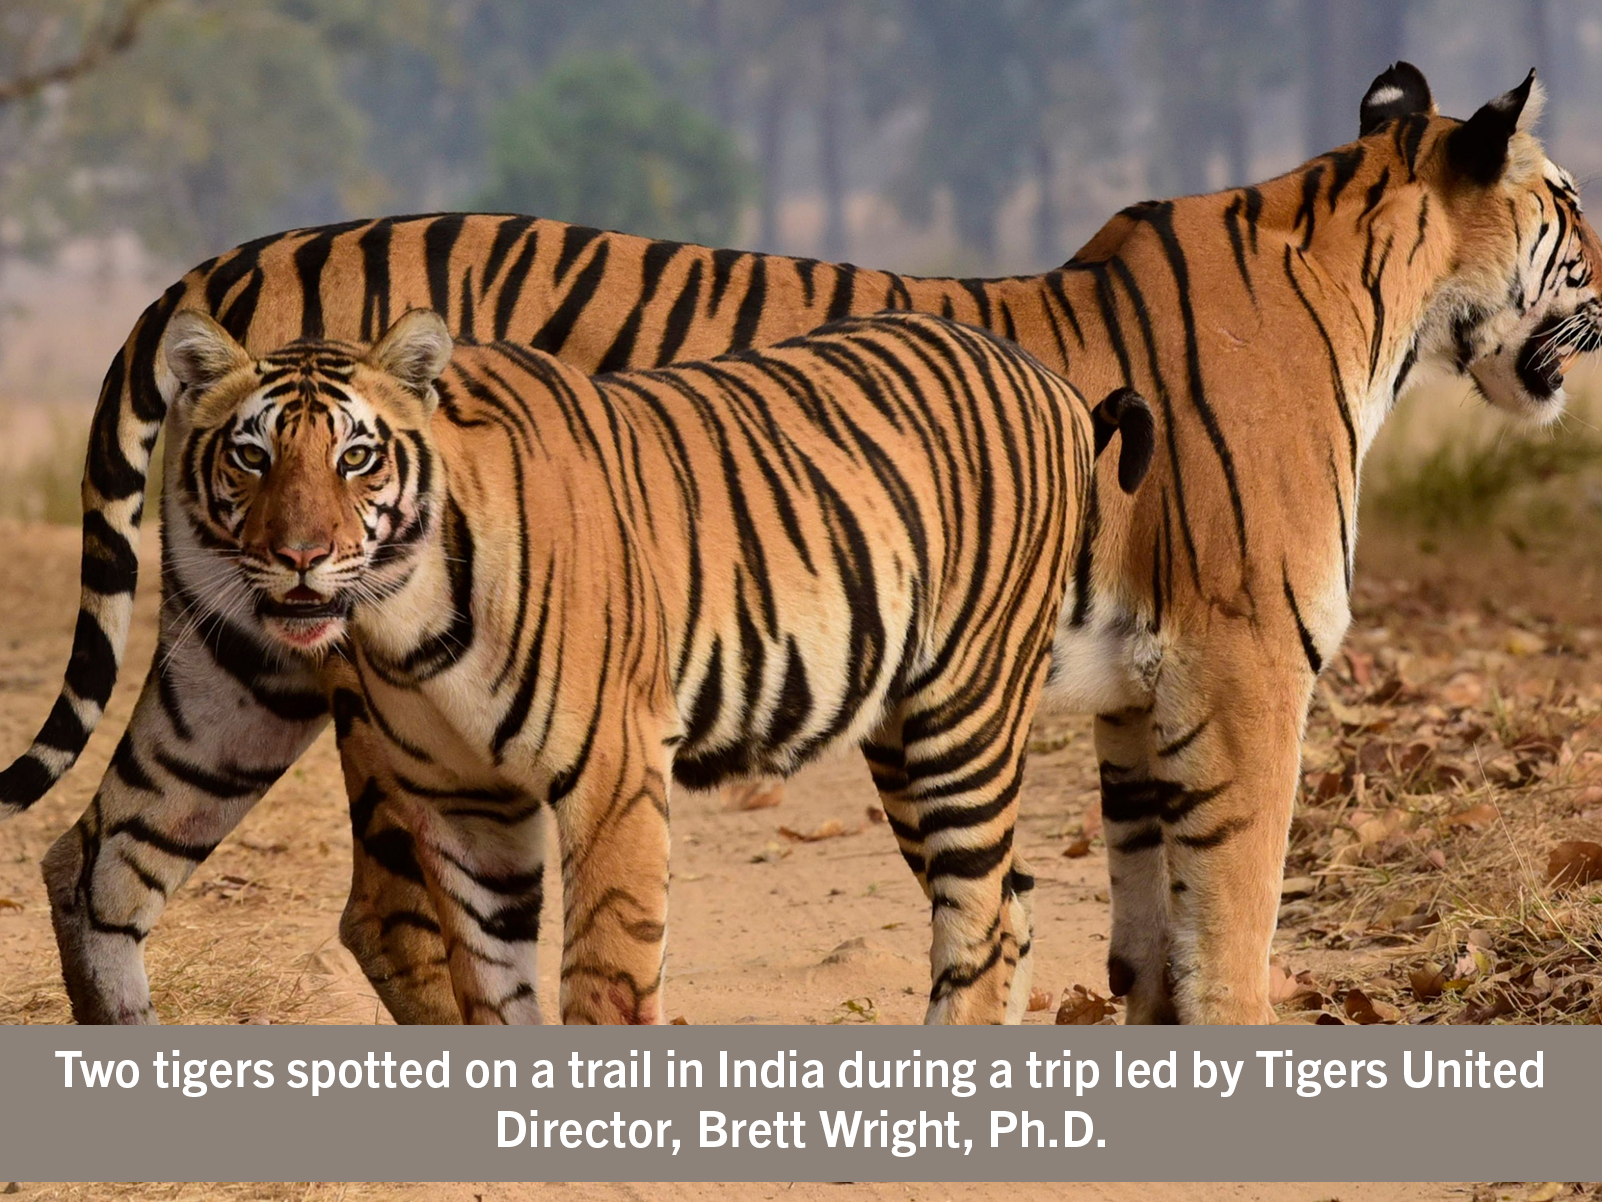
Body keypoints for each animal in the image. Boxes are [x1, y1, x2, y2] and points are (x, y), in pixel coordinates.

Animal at [144, 307, 1153, 1025]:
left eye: (356, 457)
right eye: (251, 456)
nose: (299, 556)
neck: (408, 618)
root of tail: (1052, 378)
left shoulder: (615, 767)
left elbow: (605, 974)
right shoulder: (458, 799)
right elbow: (490, 979)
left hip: (965, 712)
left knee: (978, 917)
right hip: (900, 739)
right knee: (1010, 909)